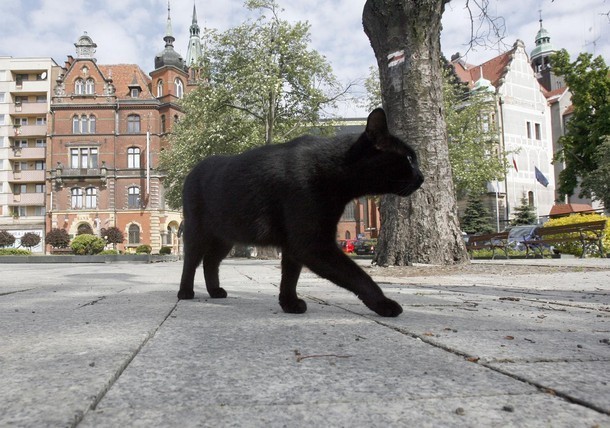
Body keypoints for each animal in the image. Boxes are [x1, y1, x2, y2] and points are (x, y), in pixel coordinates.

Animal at [176, 108, 422, 318]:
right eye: (410, 158)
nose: (422, 177)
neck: (332, 168)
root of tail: (192, 170)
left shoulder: (294, 244)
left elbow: (290, 275)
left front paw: (289, 303)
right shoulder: (311, 243)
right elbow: (357, 275)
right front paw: (384, 303)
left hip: (225, 236)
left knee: (210, 261)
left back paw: (215, 291)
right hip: (198, 232)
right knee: (191, 261)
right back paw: (185, 292)